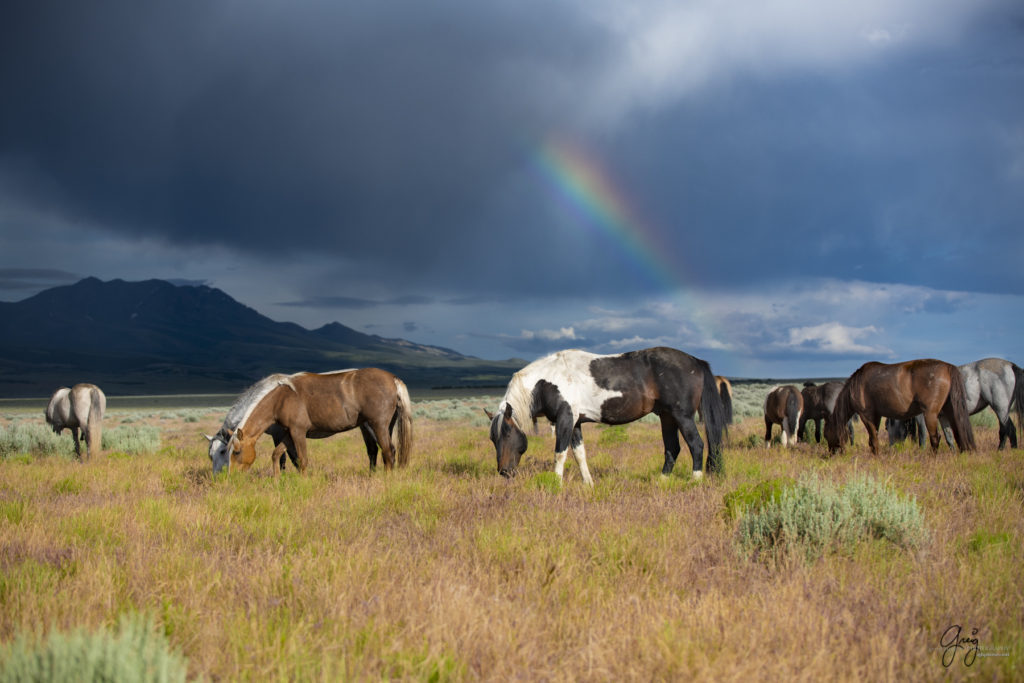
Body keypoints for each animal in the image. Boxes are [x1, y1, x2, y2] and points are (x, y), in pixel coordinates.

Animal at [205, 368, 413, 475]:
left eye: (234, 451)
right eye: (212, 454)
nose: (228, 476)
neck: (279, 398)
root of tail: (393, 379)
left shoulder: (297, 432)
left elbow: (300, 460)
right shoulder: (288, 433)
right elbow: (277, 455)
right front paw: (278, 480)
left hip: (377, 425)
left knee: (387, 451)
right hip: (381, 426)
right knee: (382, 451)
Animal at [487, 348, 729, 485]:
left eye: (507, 434)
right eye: (492, 439)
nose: (504, 472)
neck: (546, 381)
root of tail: (696, 361)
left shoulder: (565, 419)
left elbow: (560, 454)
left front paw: (556, 484)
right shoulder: (575, 423)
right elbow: (579, 454)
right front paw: (588, 484)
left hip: (682, 417)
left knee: (696, 445)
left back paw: (694, 482)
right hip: (667, 417)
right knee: (673, 449)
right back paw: (661, 482)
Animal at [823, 360, 974, 456]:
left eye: (826, 434)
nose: (831, 453)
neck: (855, 385)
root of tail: (948, 367)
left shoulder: (866, 416)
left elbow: (873, 439)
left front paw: (876, 456)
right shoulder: (876, 416)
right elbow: (873, 438)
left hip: (930, 414)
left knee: (935, 438)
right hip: (950, 411)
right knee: (956, 433)